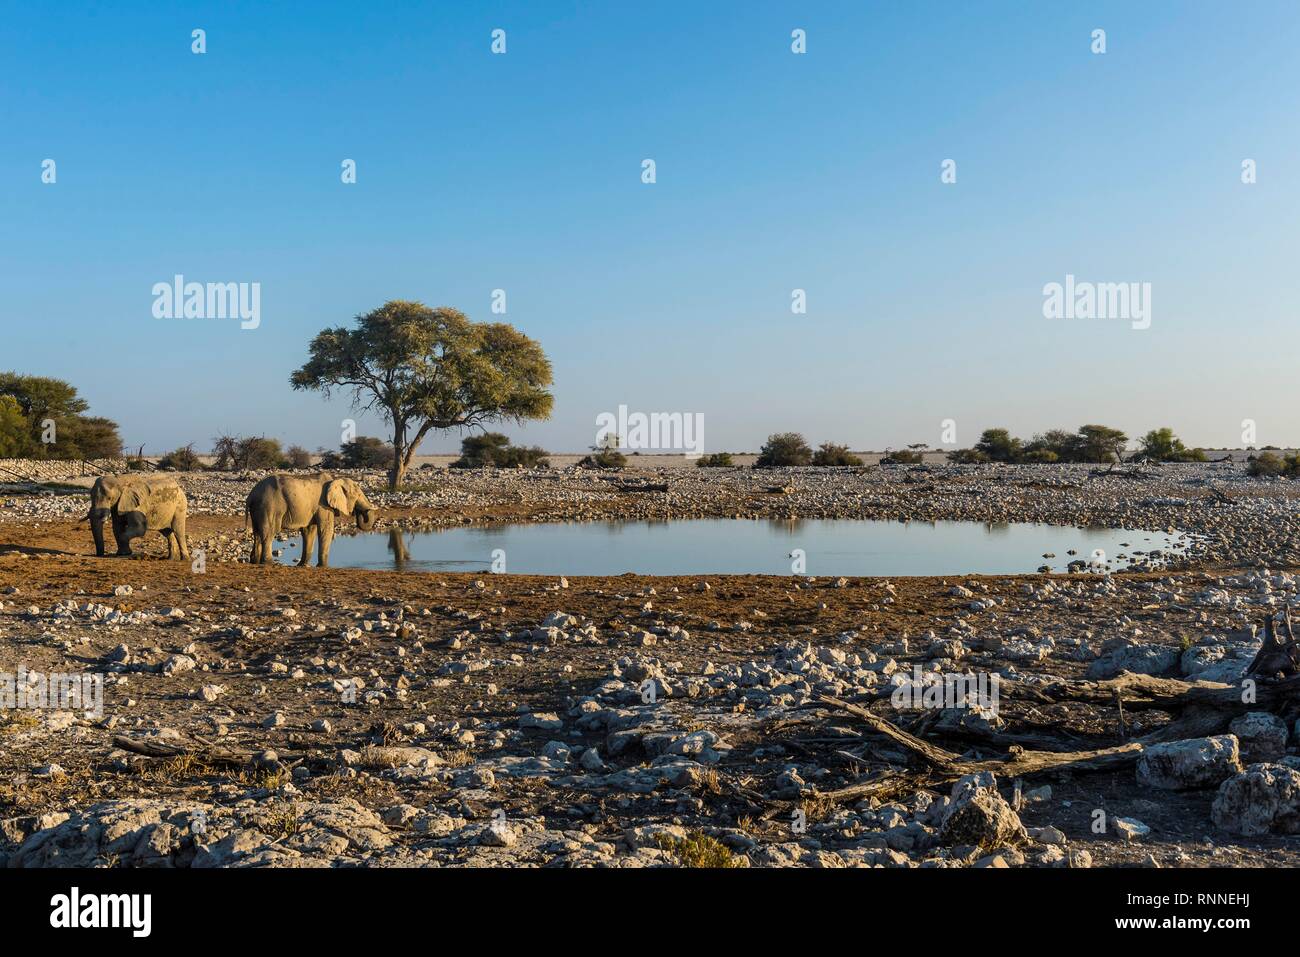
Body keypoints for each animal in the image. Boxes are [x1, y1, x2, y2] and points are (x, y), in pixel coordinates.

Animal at [244, 473, 377, 564]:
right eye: (358, 495)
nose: (358, 513)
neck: (335, 480)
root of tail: (251, 495)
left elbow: (309, 531)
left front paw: (303, 565)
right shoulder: (323, 505)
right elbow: (325, 529)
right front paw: (322, 566)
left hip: (258, 508)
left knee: (257, 532)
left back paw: (255, 561)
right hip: (270, 506)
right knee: (269, 532)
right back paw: (269, 563)